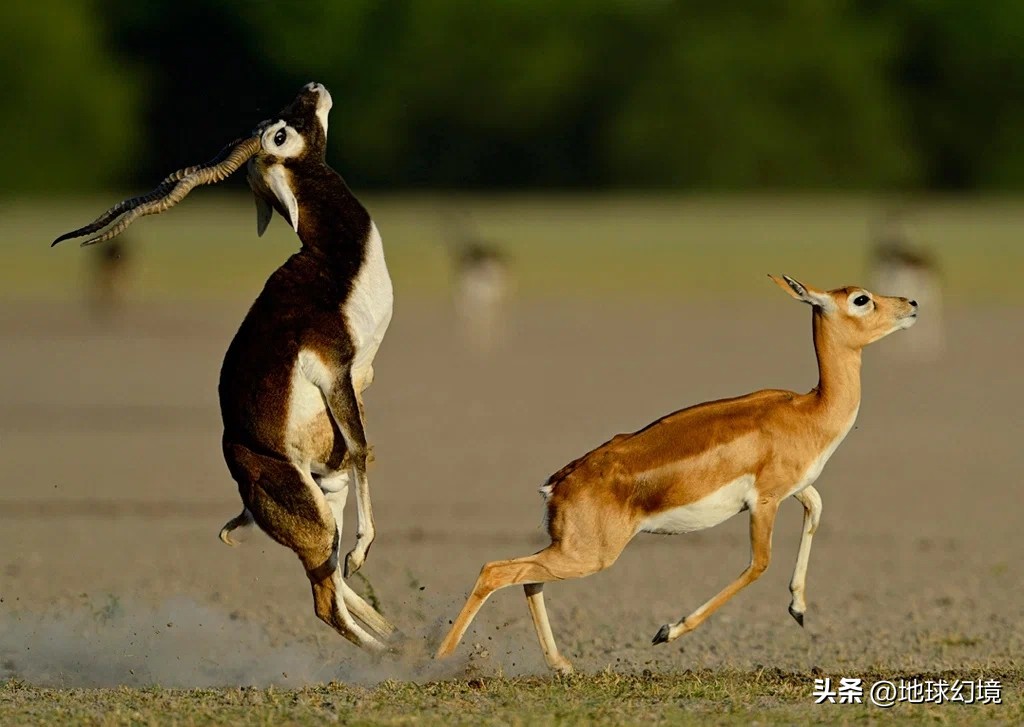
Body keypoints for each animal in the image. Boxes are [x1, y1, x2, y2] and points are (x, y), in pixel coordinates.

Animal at [52, 82, 395, 651]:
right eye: (279, 133)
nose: (313, 88)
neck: (333, 263)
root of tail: (241, 467)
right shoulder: (336, 371)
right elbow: (364, 451)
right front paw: (365, 548)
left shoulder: (358, 386)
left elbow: (359, 452)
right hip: (313, 511)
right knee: (324, 600)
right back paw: (398, 654)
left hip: (325, 490)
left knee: (331, 577)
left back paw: (396, 632)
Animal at [436, 276, 917, 675]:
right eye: (861, 299)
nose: (911, 303)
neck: (809, 411)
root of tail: (560, 482)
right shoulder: (764, 501)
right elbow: (758, 564)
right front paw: (667, 630)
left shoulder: (794, 490)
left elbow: (816, 508)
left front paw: (797, 607)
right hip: (588, 557)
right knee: (495, 570)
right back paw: (438, 661)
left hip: (569, 551)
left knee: (526, 577)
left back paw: (561, 665)